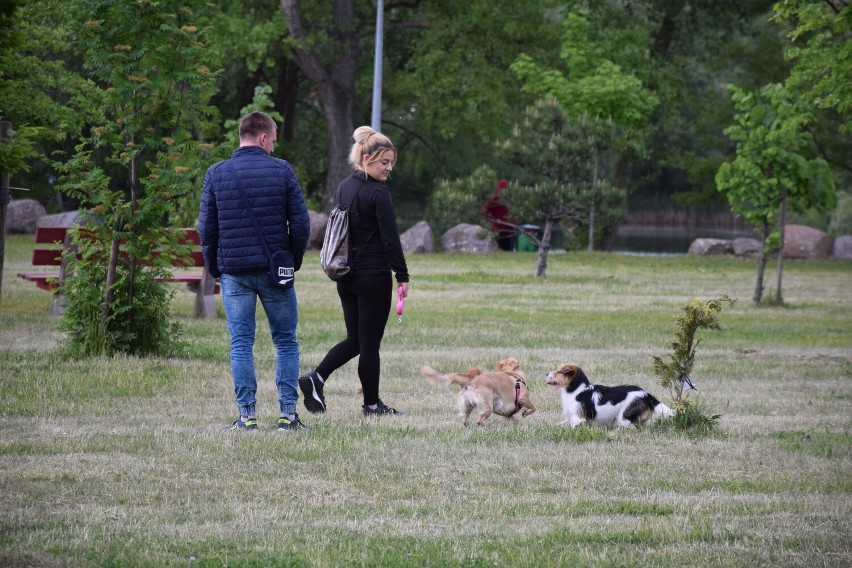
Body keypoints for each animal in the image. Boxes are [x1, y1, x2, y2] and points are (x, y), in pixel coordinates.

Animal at [544, 364, 672, 426]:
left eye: (560, 371)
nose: (546, 373)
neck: (576, 390)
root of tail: (646, 394)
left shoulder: (577, 418)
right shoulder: (570, 417)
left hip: (623, 417)